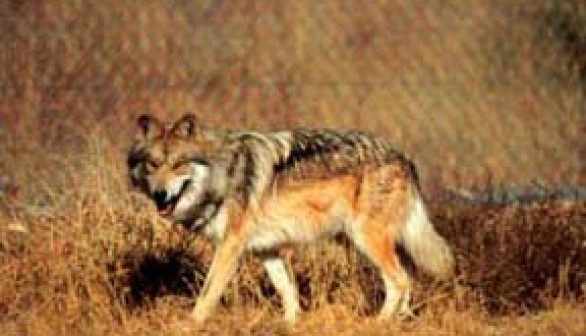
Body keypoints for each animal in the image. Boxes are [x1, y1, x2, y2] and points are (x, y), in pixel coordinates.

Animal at [128, 114, 454, 324]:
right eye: (153, 165)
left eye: (178, 165)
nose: (159, 194)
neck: (225, 173)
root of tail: (404, 157)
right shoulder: (266, 249)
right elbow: (288, 290)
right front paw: (291, 323)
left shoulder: (230, 246)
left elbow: (207, 293)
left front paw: (190, 324)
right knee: (408, 277)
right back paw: (401, 321)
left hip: (366, 239)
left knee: (399, 280)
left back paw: (379, 324)